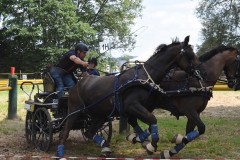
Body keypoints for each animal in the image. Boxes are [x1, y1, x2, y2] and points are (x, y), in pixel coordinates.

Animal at [57, 36, 201, 156]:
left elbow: (147, 125)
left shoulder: (141, 110)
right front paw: (151, 145)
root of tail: (77, 84)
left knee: (89, 132)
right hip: (75, 110)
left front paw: (140, 139)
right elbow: (153, 120)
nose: (199, 73)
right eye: (190, 54)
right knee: (65, 131)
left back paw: (105, 147)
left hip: (100, 115)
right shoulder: (133, 106)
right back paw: (60, 151)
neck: (144, 78)